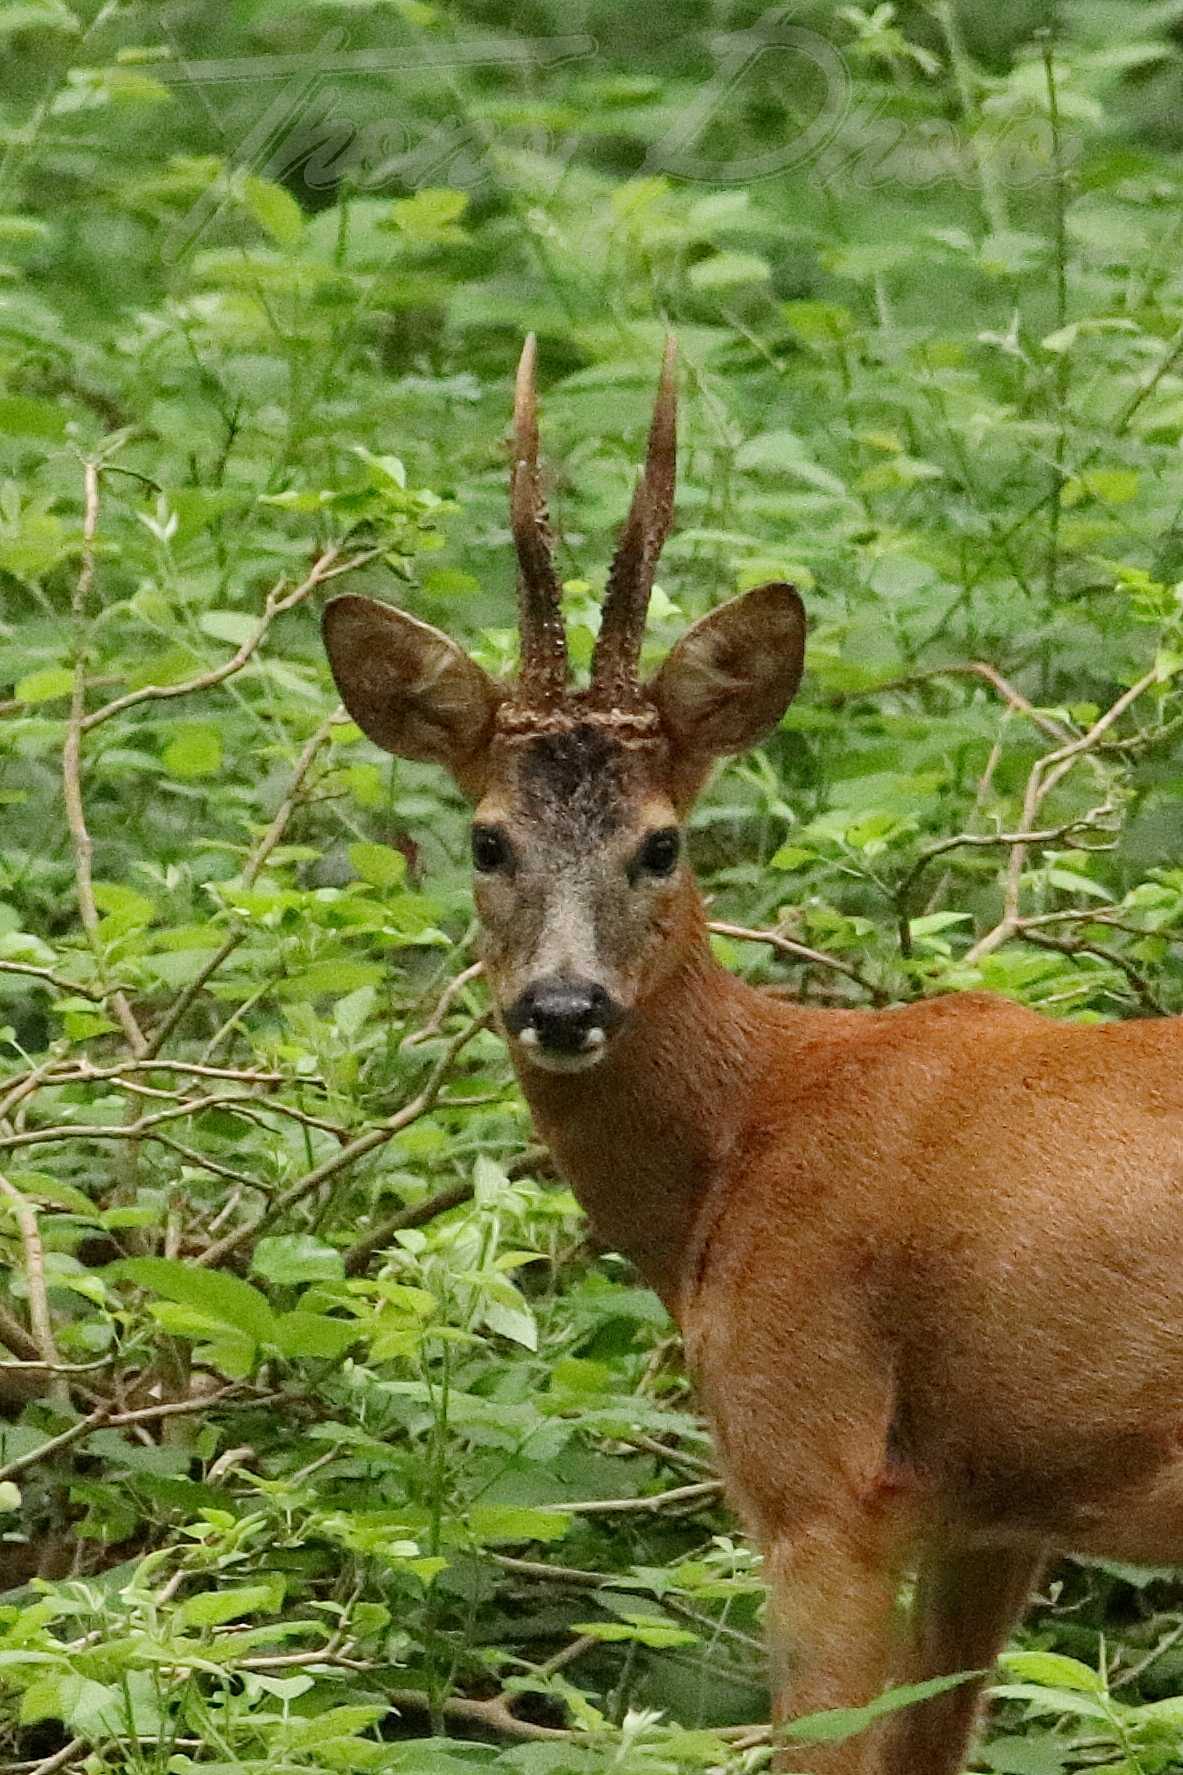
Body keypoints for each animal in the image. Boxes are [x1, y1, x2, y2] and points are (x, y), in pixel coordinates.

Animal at [319, 335, 1183, 1775]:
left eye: (660, 842)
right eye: (489, 838)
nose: (564, 1004)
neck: (751, 1124)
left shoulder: (815, 1458)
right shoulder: (986, 1508)